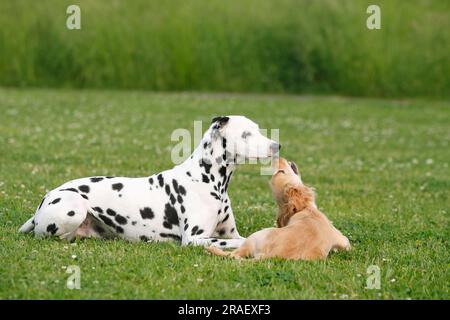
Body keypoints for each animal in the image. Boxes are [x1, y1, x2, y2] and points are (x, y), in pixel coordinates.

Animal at [19, 116, 280, 249]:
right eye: (246, 134)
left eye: (258, 129)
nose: (277, 145)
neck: (207, 179)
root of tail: (44, 201)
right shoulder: (195, 239)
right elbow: (239, 242)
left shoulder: (231, 232)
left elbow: (245, 237)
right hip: (75, 208)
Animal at [207, 158, 352, 260]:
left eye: (281, 172)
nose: (276, 156)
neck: (305, 209)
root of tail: (270, 255)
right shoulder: (343, 238)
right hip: (258, 234)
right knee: (233, 254)